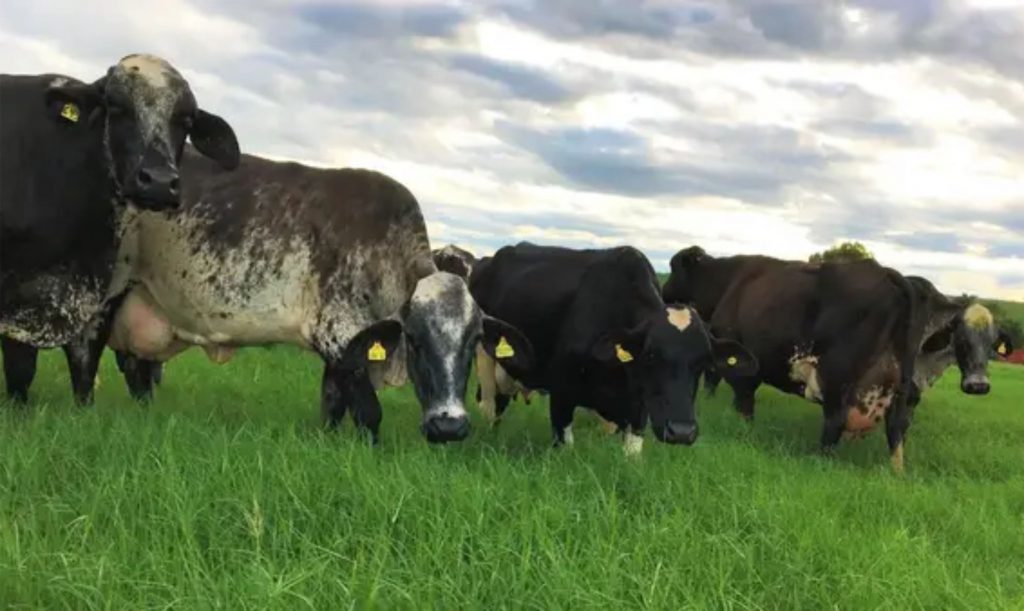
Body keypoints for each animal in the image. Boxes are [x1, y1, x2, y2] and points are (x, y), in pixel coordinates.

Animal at [1, 53, 239, 405]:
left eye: (185, 120)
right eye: (115, 106)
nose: (159, 181)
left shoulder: (92, 304)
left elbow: (84, 370)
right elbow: (20, 370)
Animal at [98, 147, 532, 444]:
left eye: (474, 341)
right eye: (415, 338)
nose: (449, 426)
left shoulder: (341, 352)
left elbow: (333, 407)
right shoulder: (340, 336)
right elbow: (369, 414)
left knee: (137, 373)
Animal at [468, 241, 757, 452]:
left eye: (704, 362)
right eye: (651, 355)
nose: (682, 432)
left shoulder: (639, 408)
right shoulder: (561, 393)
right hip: (486, 358)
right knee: (489, 405)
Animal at [663, 245, 1007, 468]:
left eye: (673, 268)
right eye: (962, 340)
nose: (663, 294)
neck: (730, 281)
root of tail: (889, 274)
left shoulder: (743, 366)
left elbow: (741, 403)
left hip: (837, 376)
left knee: (834, 422)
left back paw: (819, 463)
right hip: (896, 388)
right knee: (896, 429)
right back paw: (896, 474)